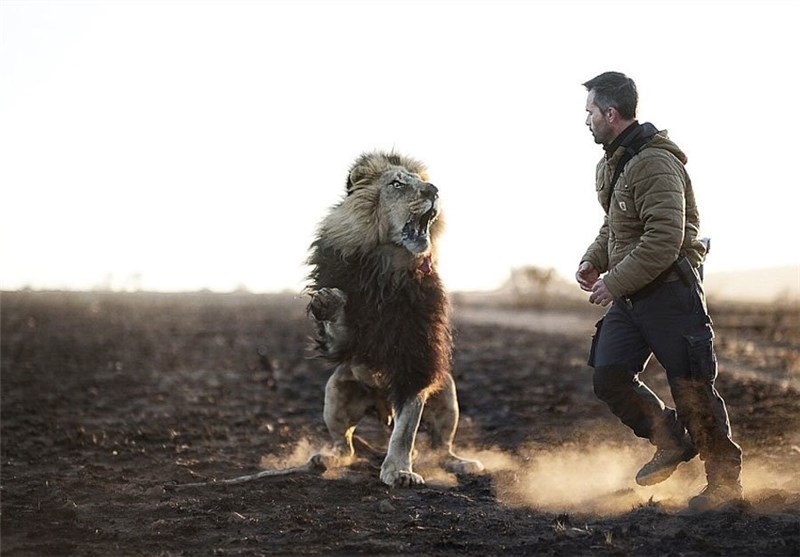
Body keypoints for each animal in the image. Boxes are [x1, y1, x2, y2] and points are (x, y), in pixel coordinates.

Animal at [304, 150, 482, 484]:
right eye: (397, 184)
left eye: (423, 182)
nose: (433, 190)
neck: (386, 269)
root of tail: (381, 407)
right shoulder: (346, 342)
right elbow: (339, 331)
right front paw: (328, 302)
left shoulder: (417, 358)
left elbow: (405, 431)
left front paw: (400, 470)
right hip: (334, 392)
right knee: (344, 444)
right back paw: (325, 458)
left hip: (447, 393)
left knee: (441, 446)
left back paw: (462, 463)